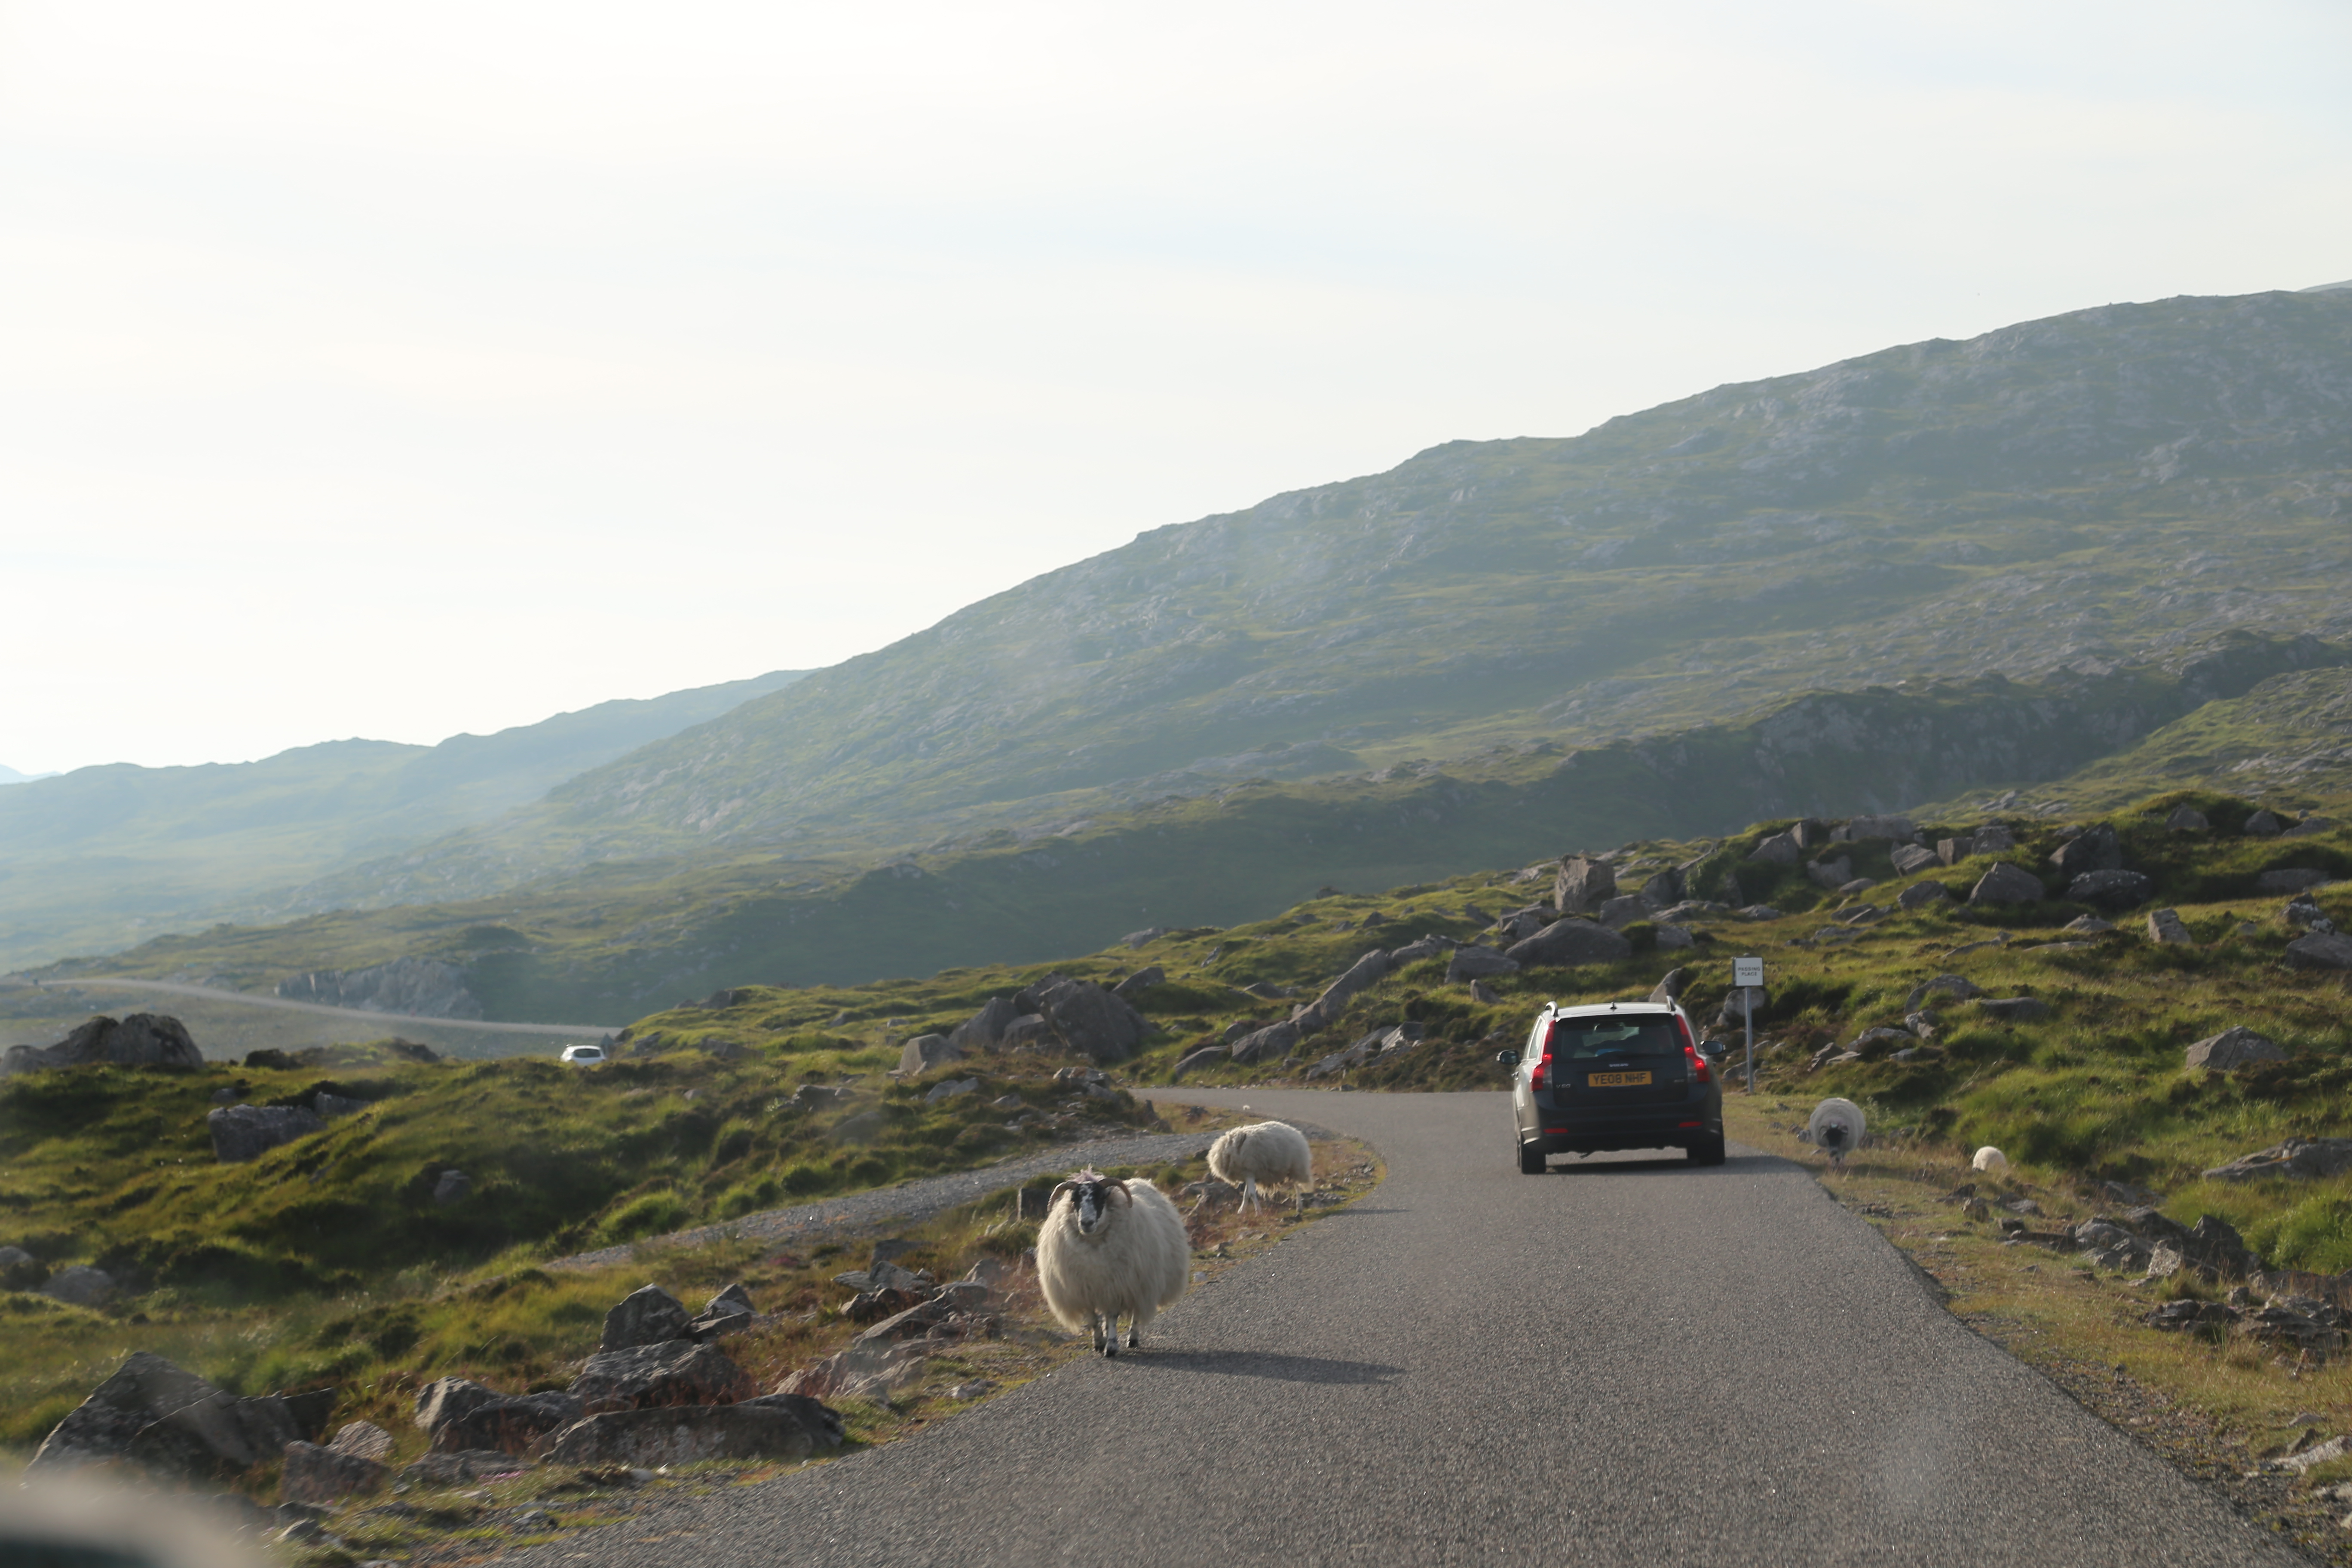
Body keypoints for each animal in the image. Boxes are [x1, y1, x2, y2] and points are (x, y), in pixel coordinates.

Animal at [1044, 1170, 1194, 1354]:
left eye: (1102, 1197)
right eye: (1074, 1199)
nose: (1086, 1223)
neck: (1094, 1243)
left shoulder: (1117, 1286)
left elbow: (1112, 1316)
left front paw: (1111, 1346)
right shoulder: (1083, 1290)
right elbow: (1093, 1319)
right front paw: (1099, 1343)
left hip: (1141, 1283)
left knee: (1137, 1313)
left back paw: (1133, 1338)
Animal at [1204, 1124, 1317, 1222]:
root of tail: (1296, 1132)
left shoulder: (1249, 1172)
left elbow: (1252, 1194)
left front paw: (1259, 1213)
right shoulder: (1248, 1175)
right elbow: (1246, 1195)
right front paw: (1242, 1211)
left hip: (1296, 1166)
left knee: (1297, 1186)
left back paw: (1299, 1207)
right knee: (1296, 1184)